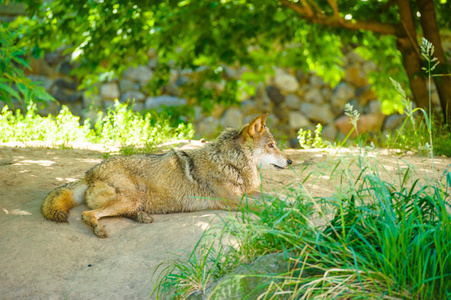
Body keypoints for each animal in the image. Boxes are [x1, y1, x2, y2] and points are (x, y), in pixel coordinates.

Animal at [42, 113, 294, 238]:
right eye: (271, 145)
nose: (291, 161)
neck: (230, 162)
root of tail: (90, 172)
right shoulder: (234, 200)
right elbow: (268, 206)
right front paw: (288, 213)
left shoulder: (250, 193)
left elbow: (278, 199)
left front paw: (295, 204)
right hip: (129, 197)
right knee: (88, 214)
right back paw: (99, 229)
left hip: (132, 200)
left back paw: (141, 217)